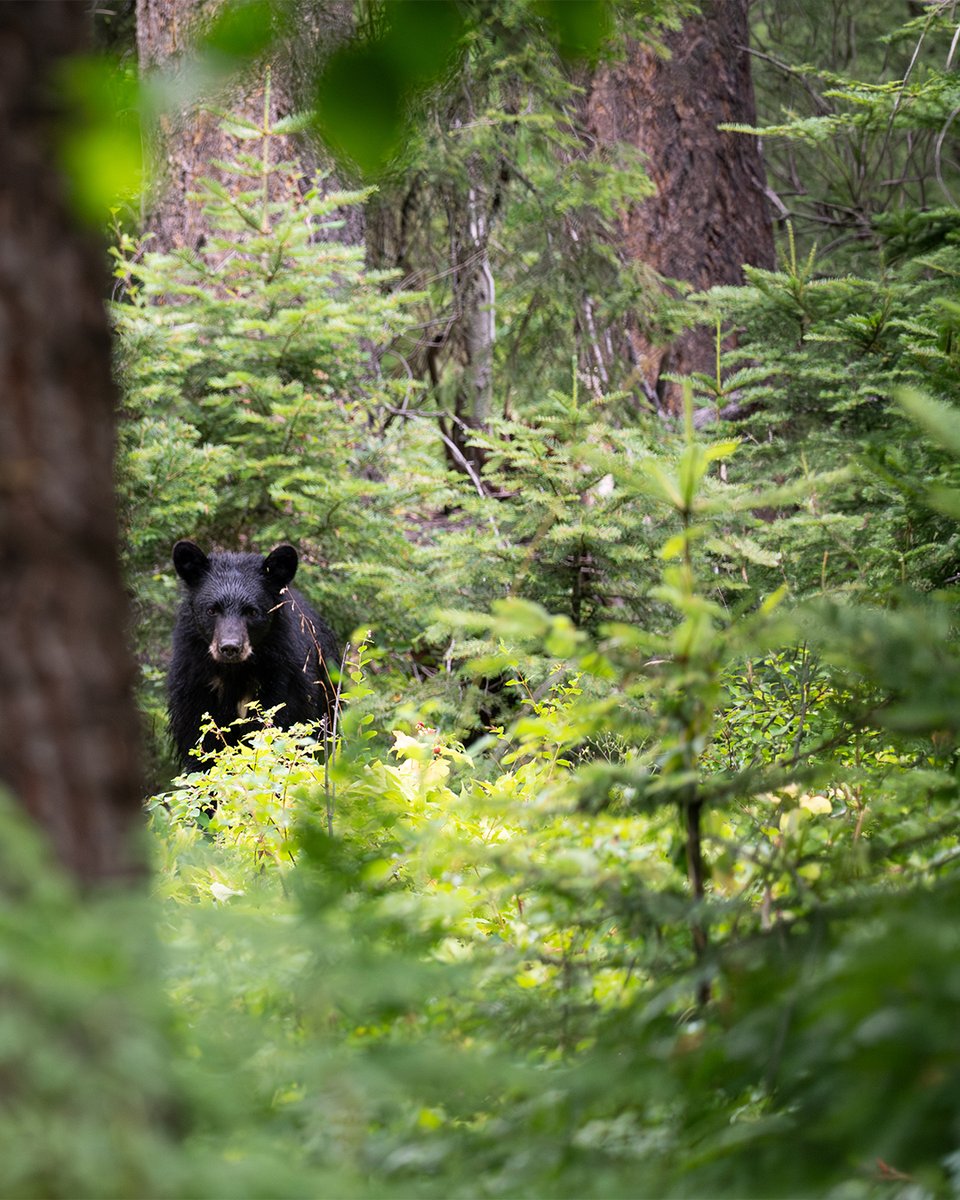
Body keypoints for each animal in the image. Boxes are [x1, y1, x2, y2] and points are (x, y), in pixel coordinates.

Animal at [167, 540, 340, 769]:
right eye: (211, 610)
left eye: (252, 611)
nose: (230, 647)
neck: (235, 673)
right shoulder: (194, 684)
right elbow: (202, 743)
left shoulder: (282, 681)